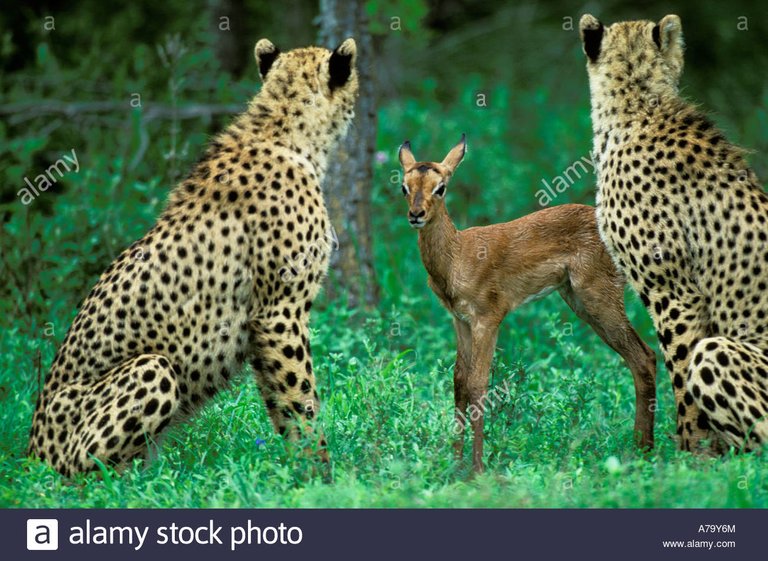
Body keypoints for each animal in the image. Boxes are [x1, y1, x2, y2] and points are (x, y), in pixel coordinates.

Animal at [26, 37, 356, 474]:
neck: (285, 129)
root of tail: (30, 456)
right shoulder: (279, 312)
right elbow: (299, 396)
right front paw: (320, 470)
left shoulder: (260, 323)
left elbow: (279, 400)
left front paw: (295, 468)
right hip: (152, 368)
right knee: (85, 471)